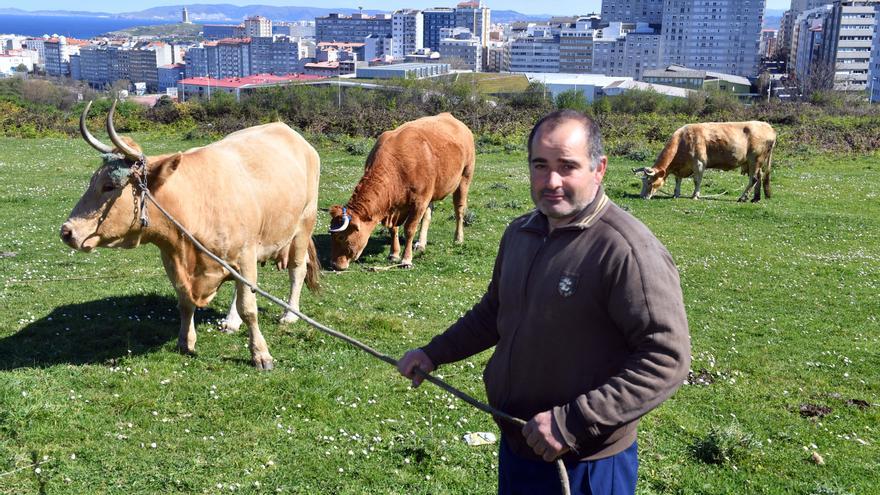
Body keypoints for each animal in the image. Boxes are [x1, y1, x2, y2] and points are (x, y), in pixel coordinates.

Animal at [62, 102, 324, 370]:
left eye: (110, 186)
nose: (67, 231)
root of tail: (288, 130)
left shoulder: (245, 254)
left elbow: (249, 307)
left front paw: (261, 354)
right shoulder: (172, 258)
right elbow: (186, 302)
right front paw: (185, 342)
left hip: (304, 223)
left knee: (297, 269)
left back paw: (289, 314)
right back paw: (232, 321)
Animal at [326, 113, 474, 272]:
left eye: (341, 237)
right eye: (331, 236)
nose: (334, 264)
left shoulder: (419, 202)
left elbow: (409, 229)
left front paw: (406, 259)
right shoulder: (394, 206)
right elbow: (393, 229)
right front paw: (394, 253)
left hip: (465, 178)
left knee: (459, 210)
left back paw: (458, 239)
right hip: (431, 193)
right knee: (428, 215)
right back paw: (421, 243)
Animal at [632, 121, 776, 202]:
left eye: (650, 182)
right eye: (643, 182)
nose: (642, 197)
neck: (683, 140)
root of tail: (769, 127)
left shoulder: (699, 164)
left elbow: (697, 181)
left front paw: (695, 196)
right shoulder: (681, 168)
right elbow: (678, 180)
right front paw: (676, 194)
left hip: (755, 160)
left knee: (754, 179)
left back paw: (743, 198)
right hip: (758, 163)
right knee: (759, 177)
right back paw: (755, 198)